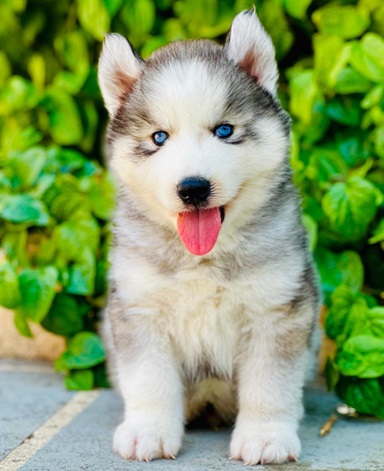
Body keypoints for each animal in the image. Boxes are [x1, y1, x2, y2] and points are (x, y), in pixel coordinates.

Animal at [97, 9, 320, 466]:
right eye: (158, 138)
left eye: (224, 130)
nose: (194, 188)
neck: (203, 258)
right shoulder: (140, 308)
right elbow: (149, 379)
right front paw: (148, 429)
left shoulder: (276, 310)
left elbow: (270, 384)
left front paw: (265, 437)